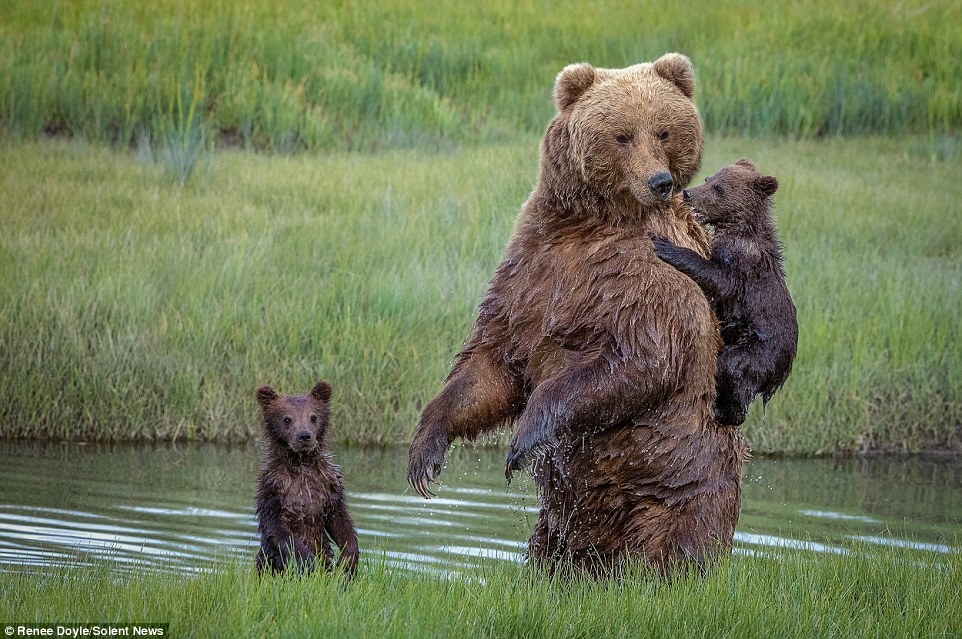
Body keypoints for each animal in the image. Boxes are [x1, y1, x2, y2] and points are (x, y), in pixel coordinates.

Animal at [404, 53, 744, 576]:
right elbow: (493, 362)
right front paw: (425, 454)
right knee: (554, 547)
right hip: (563, 520)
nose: (659, 182)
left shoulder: (651, 275)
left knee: (677, 542)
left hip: (678, 481)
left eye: (663, 131)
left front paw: (522, 441)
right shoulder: (533, 268)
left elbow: (641, 360)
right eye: (622, 134)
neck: (592, 223)